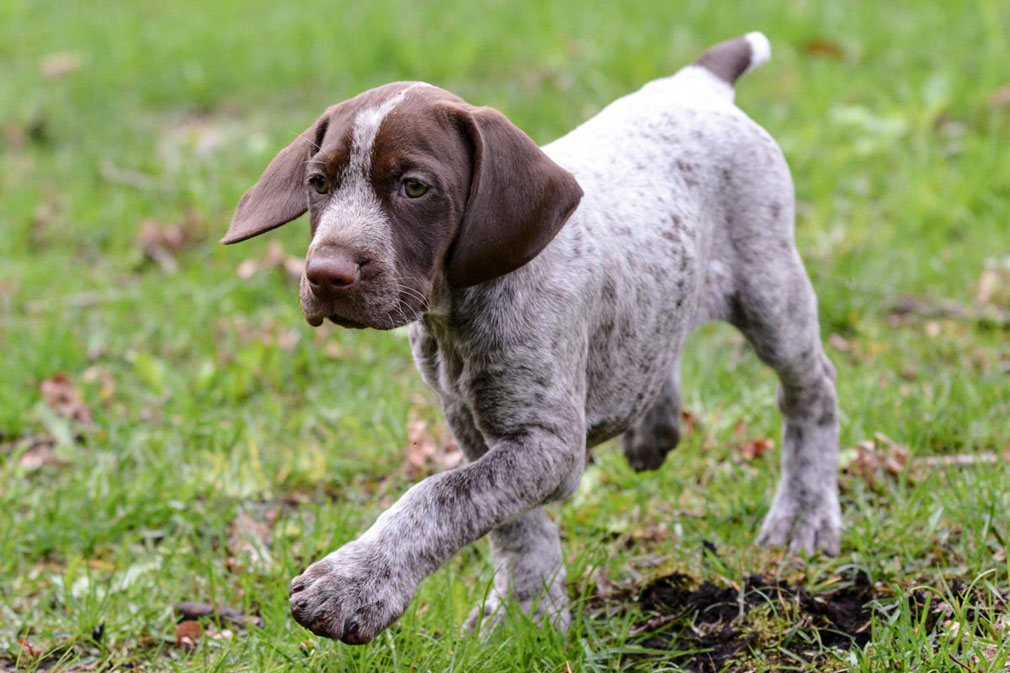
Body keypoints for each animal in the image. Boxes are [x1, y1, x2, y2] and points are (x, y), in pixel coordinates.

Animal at [223, 34, 844, 642]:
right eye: (318, 183)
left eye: (414, 187)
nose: (325, 275)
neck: (456, 311)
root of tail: (696, 83)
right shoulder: (470, 421)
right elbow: (510, 523)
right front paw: (527, 607)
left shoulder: (545, 441)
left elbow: (439, 497)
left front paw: (353, 583)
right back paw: (653, 430)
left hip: (770, 292)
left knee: (811, 388)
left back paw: (804, 513)